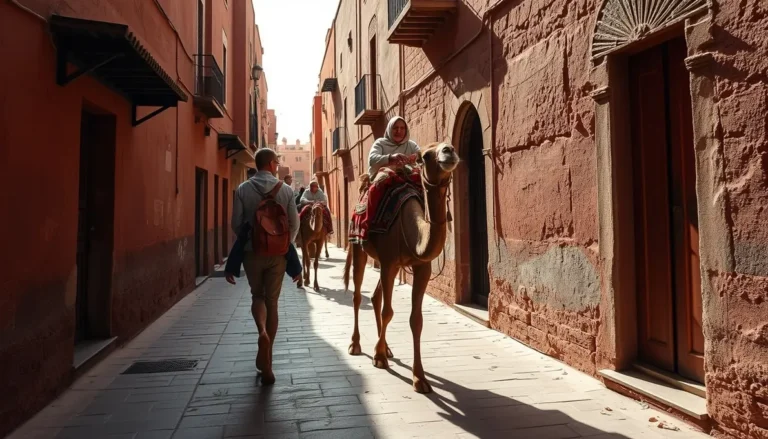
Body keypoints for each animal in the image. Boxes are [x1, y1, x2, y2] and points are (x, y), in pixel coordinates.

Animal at [343, 142, 459, 393]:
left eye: (449, 146)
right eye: (425, 156)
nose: (449, 150)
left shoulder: (420, 267)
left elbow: (416, 320)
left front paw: (420, 378)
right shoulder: (388, 262)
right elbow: (388, 312)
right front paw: (378, 359)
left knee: (375, 296)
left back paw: (385, 348)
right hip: (358, 246)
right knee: (357, 295)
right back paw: (356, 345)